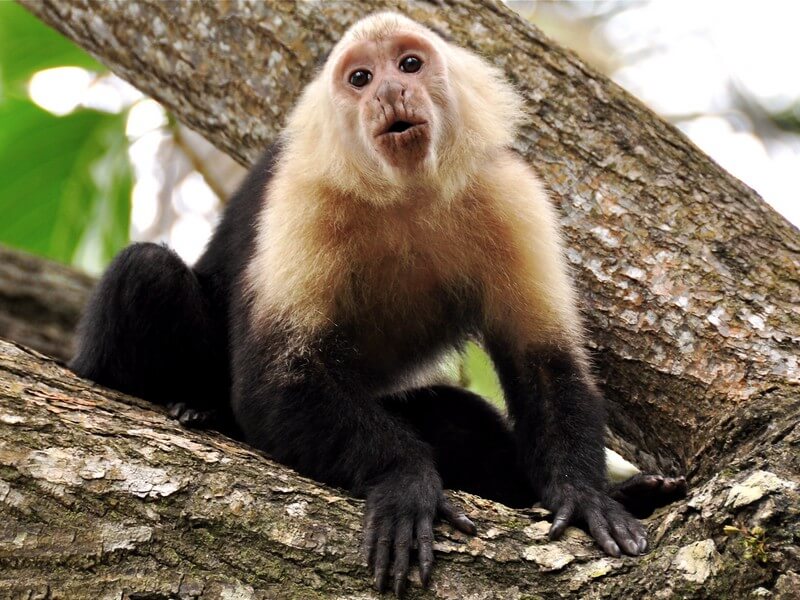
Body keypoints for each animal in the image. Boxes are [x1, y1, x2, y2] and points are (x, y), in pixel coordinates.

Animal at [72, 11, 684, 596]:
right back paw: (198, 408)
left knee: (461, 417)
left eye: (409, 64)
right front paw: (405, 480)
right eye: (361, 78)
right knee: (146, 273)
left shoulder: (511, 193)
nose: (390, 91)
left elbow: (545, 363)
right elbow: (277, 381)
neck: (406, 194)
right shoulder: (302, 194)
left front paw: (585, 496)